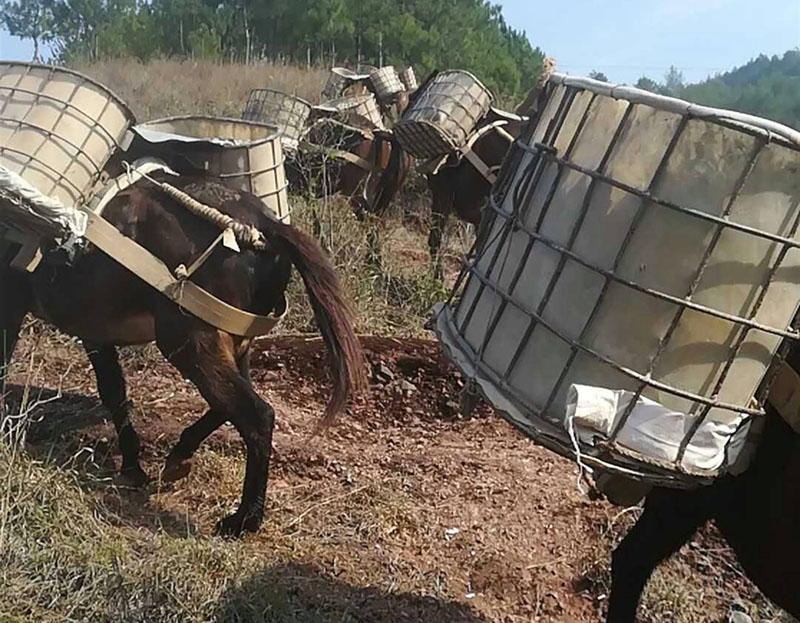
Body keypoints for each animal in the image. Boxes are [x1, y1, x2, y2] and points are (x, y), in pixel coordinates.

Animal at [0, 174, 368, 536]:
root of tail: (265, 224)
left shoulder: (16, 306)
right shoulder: (93, 330)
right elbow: (114, 394)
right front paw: (132, 465)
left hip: (188, 340)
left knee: (256, 414)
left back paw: (244, 519)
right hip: (231, 342)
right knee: (231, 403)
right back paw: (181, 456)